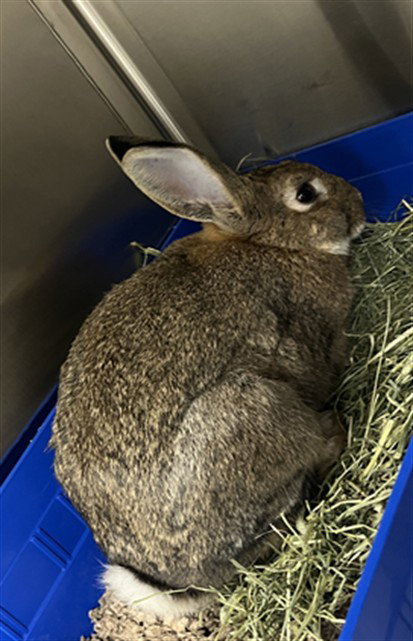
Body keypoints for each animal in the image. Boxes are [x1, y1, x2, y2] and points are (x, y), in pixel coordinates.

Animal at [50, 137, 365, 620]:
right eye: (306, 193)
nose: (359, 203)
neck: (268, 243)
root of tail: (182, 580)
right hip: (253, 411)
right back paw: (335, 429)